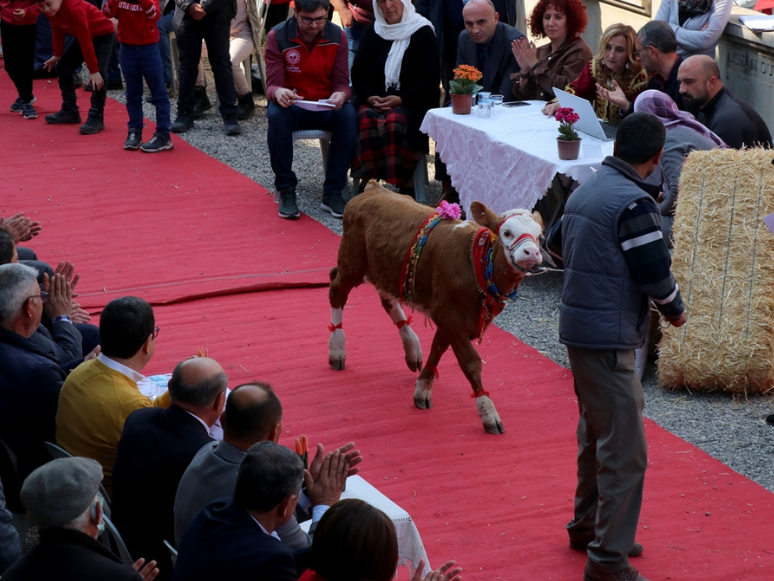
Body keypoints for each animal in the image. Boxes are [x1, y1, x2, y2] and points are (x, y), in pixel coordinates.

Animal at [330, 184, 544, 432]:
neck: (475, 262)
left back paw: (411, 348)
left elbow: (437, 348)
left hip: (384, 269)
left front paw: (422, 388)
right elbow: (470, 362)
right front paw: (488, 412)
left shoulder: (450, 315)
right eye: (507, 232)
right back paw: (337, 349)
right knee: (336, 288)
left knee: (387, 299)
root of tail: (374, 188)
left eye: (540, 236)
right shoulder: (448, 314)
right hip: (352, 263)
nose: (531, 253)